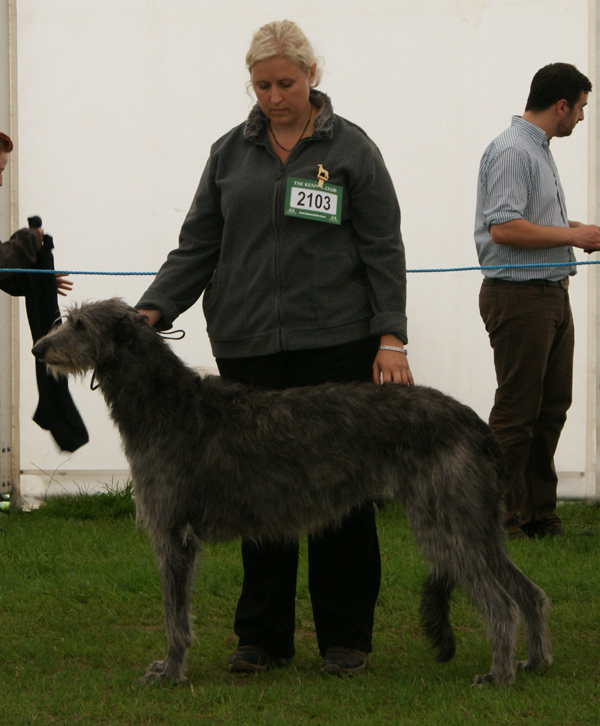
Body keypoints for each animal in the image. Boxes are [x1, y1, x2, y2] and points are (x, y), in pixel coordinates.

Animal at [30, 298, 552, 684]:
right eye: (65, 319)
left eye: (79, 324)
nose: (37, 349)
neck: (164, 402)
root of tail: (474, 423)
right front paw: (170, 667)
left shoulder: (173, 533)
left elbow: (174, 615)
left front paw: (170, 672)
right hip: (473, 522)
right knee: (528, 591)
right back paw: (535, 661)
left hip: (446, 521)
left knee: (500, 601)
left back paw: (500, 674)